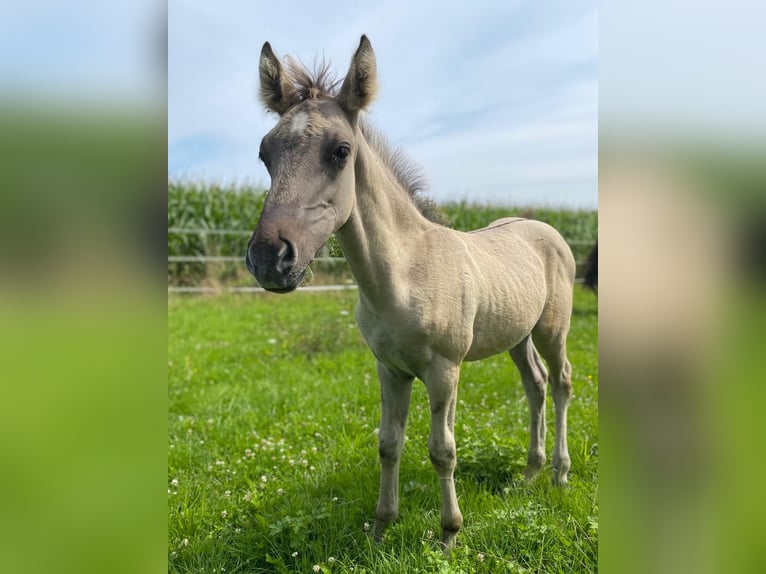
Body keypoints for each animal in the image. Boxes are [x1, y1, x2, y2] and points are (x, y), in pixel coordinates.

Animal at [246, 36, 576, 551]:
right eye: (265, 153)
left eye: (340, 151)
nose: (268, 258)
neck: (403, 274)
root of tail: (545, 228)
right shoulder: (390, 369)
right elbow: (388, 443)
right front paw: (382, 527)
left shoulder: (444, 369)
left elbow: (442, 449)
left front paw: (448, 534)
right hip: (517, 336)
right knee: (535, 385)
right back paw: (530, 472)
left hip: (552, 329)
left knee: (561, 382)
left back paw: (560, 473)